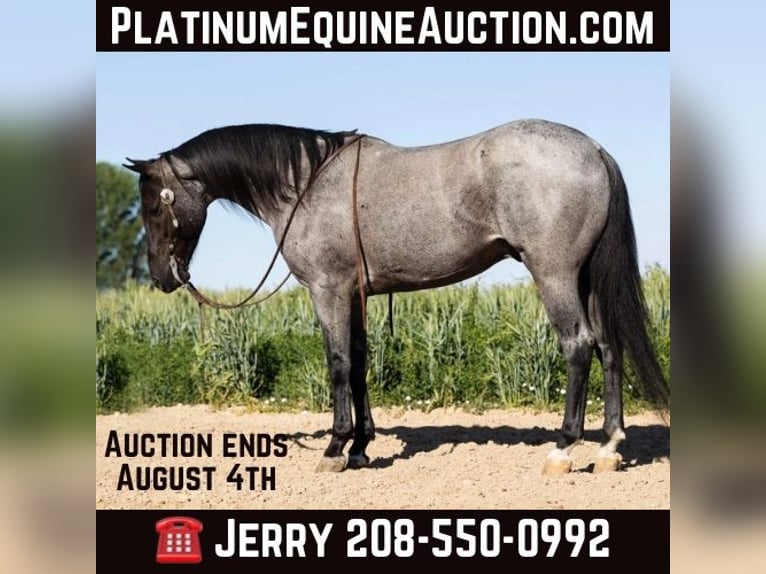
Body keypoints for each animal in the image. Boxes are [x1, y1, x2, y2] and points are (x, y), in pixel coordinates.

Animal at [125, 120, 668, 475]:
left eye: (152, 206)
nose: (161, 277)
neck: (305, 184)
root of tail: (593, 149)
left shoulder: (327, 290)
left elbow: (338, 364)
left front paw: (334, 449)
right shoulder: (356, 295)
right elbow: (361, 363)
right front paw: (361, 448)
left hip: (554, 274)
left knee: (578, 347)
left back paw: (562, 449)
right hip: (586, 277)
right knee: (609, 347)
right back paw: (609, 448)